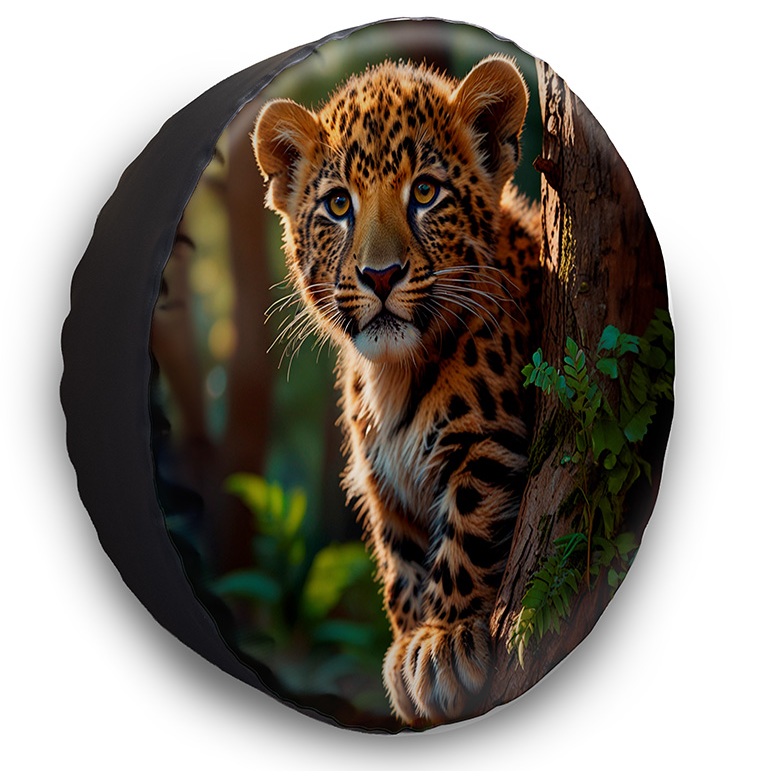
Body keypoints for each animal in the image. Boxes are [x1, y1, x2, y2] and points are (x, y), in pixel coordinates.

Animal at [252, 55, 541, 725]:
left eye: (426, 193)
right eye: (338, 204)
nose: (379, 275)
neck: (394, 375)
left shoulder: (489, 442)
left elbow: (468, 534)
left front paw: (444, 642)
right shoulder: (382, 482)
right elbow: (401, 566)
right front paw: (411, 643)